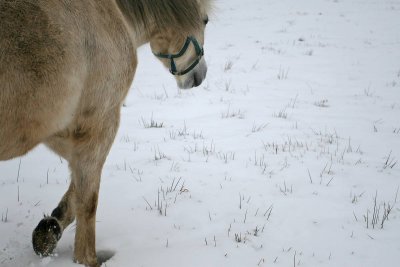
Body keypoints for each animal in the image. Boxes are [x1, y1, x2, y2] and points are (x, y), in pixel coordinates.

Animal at [0, 1, 212, 266]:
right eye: (205, 21)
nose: (200, 76)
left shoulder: (57, 127)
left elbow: (77, 185)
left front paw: (49, 230)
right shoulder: (101, 122)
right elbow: (88, 198)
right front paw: (87, 258)